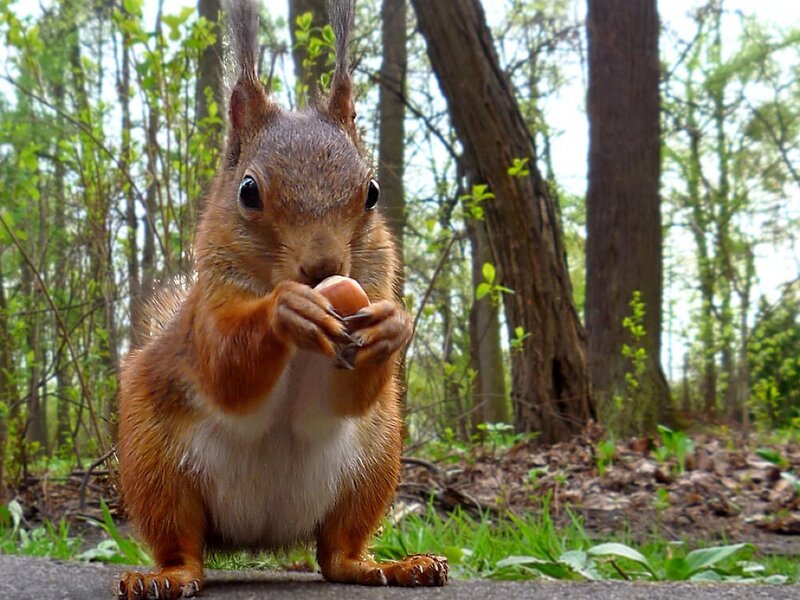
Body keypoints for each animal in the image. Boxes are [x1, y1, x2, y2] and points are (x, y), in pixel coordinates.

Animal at [116, 1, 448, 598]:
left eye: (372, 192)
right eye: (248, 191)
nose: (322, 269)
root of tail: (259, 535)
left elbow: (348, 397)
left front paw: (394, 325)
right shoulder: (205, 316)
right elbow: (226, 367)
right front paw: (286, 311)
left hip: (373, 464)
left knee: (337, 553)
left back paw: (391, 566)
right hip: (155, 465)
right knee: (183, 544)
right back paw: (166, 577)